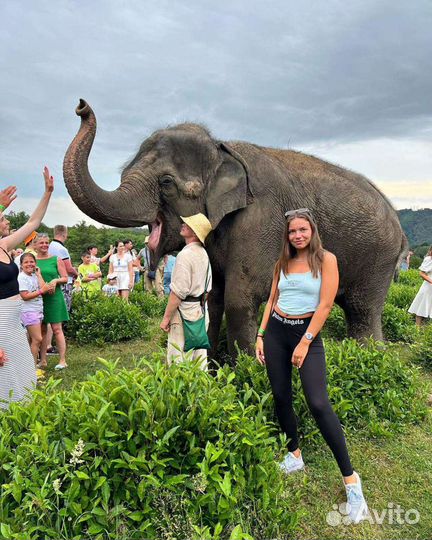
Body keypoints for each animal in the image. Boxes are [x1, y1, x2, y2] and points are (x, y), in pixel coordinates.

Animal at [62, 99, 406, 356]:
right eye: (124, 173)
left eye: (166, 182)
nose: (80, 105)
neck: (221, 148)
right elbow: (212, 296)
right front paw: (214, 371)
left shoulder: (261, 218)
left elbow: (242, 297)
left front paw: (248, 373)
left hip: (379, 260)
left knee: (363, 310)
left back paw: (371, 357)